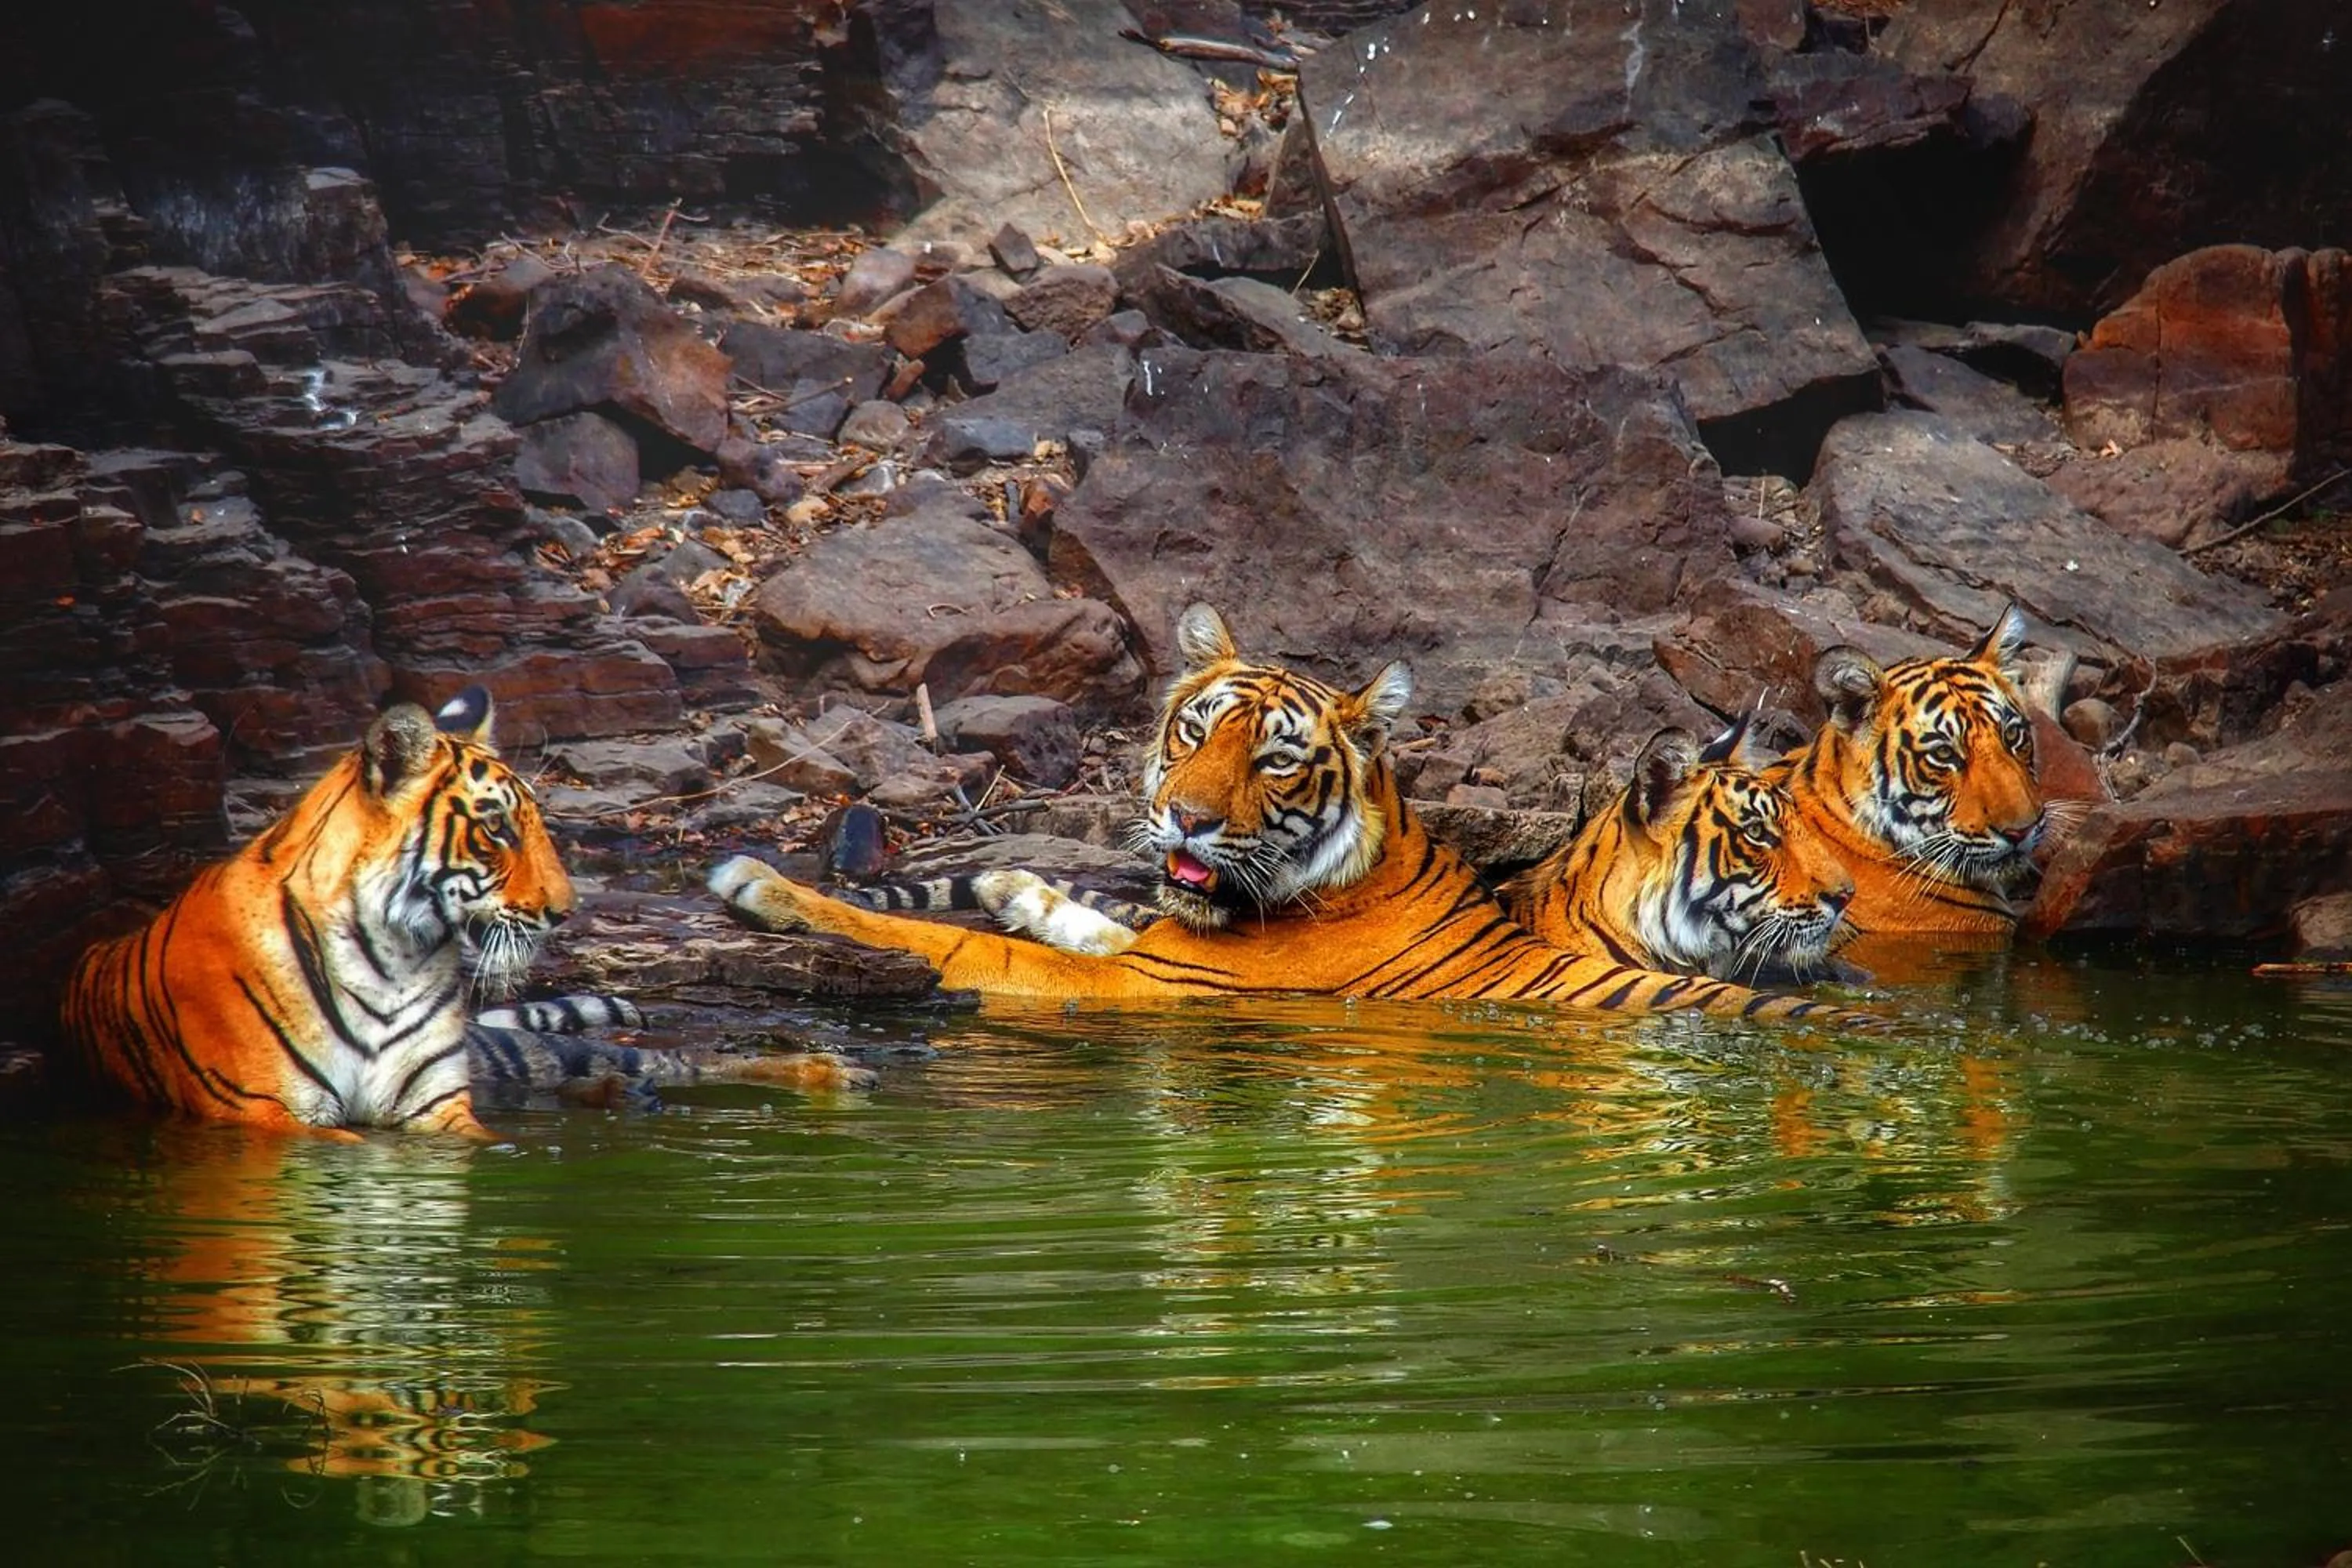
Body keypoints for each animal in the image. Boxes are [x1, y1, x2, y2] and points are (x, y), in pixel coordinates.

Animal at [61, 687, 865, 1138]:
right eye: (498, 827)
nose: (565, 911)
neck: (389, 959)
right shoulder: (266, 1115)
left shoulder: (440, 1109)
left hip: (532, 1054)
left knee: (684, 1059)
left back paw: (831, 1074)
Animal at [710, 604, 1873, 1027]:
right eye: (1194, 731)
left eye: (1273, 760)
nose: (1183, 819)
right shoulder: (1164, 947)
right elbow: (1091, 915)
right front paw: (1010, 881)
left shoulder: (1154, 984)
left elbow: (937, 941)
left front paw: (764, 884)